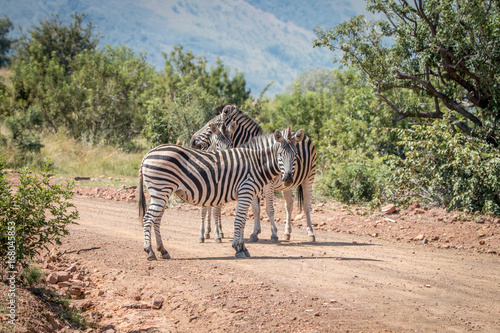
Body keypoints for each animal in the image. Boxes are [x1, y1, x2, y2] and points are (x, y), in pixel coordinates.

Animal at [138, 126, 304, 258]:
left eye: (295, 156)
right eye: (280, 155)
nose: (288, 179)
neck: (258, 164)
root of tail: (147, 154)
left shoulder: (247, 194)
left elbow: (243, 222)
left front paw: (243, 247)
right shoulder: (245, 191)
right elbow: (238, 221)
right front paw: (237, 248)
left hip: (162, 193)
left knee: (156, 220)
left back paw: (162, 250)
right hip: (160, 190)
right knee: (148, 218)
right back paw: (150, 251)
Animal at [191, 105, 316, 241]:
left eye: (210, 125)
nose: (192, 141)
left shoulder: (268, 184)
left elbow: (269, 209)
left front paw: (273, 233)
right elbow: (255, 209)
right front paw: (255, 233)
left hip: (309, 177)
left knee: (307, 205)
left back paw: (310, 233)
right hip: (287, 183)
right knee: (289, 204)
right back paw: (287, 233)